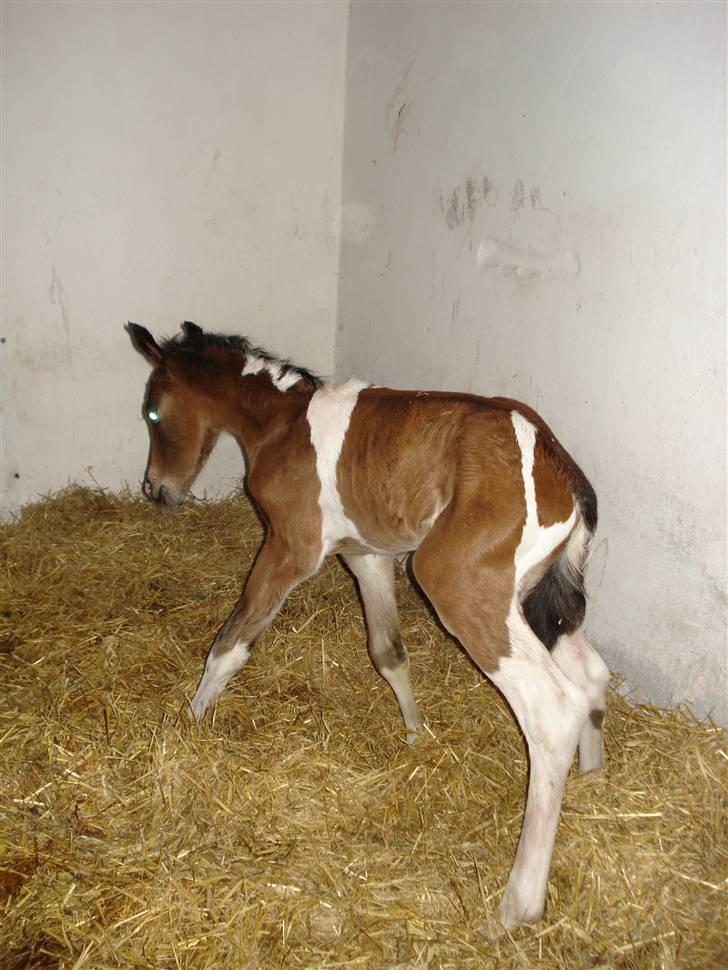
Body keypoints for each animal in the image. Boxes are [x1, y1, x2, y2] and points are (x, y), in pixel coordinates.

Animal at [126, 322, 608, 928]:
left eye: (152, 413)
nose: (154, 490)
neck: (283, 422)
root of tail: (561, 469)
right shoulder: (365, 556)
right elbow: (388, 652)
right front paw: (415, 735)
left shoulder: (292, 547)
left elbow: (230, 645)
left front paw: (186, 727)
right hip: (535, 599)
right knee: (592, 676)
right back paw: (593, 784)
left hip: (459, 584)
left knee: (552, 711)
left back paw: (517, 904)